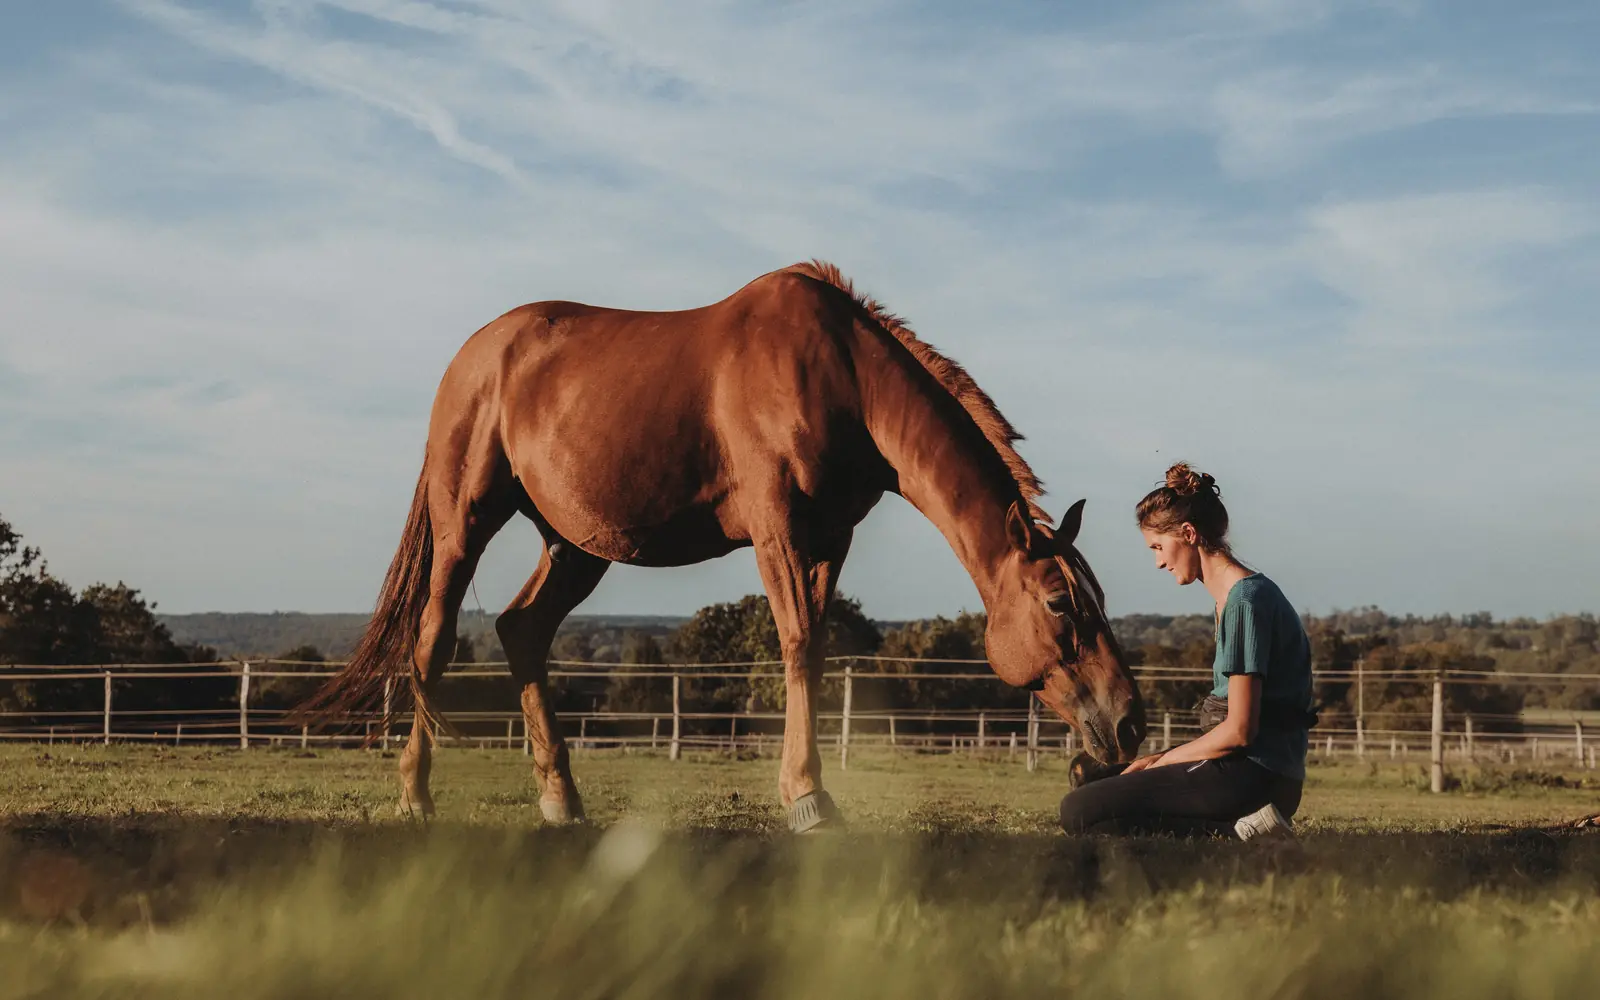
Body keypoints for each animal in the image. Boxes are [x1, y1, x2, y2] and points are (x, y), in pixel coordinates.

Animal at [304, 261, 1146, 831]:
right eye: (1059, 602)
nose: (1130, 723)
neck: (844, 377)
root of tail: (474, 356)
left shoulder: (829, 538)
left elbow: (814, 647)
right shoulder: (778, 527)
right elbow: (798, 645)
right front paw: (808, 798)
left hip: (575, 546)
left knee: (521, 632)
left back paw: (560, 798)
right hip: (465, 523)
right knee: (433, 640)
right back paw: (415, 793)